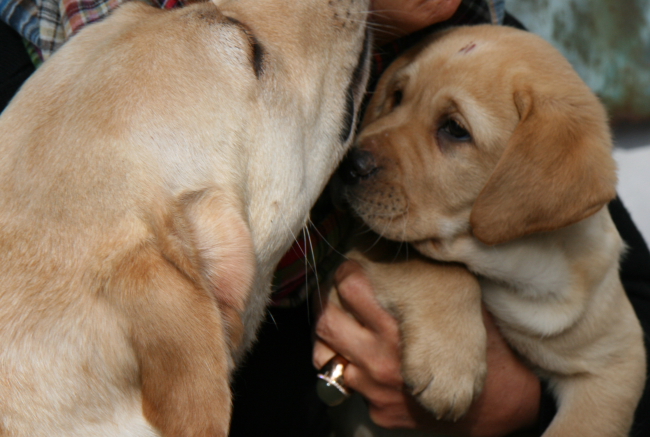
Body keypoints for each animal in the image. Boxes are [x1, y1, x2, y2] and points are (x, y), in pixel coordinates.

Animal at [340, 24, 644, 436]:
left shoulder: (615, 363)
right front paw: (449, 362)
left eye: (454, 129)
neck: (512, 266)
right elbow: (440, 270)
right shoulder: (365, 244)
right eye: (398, 96)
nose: (349, 165)